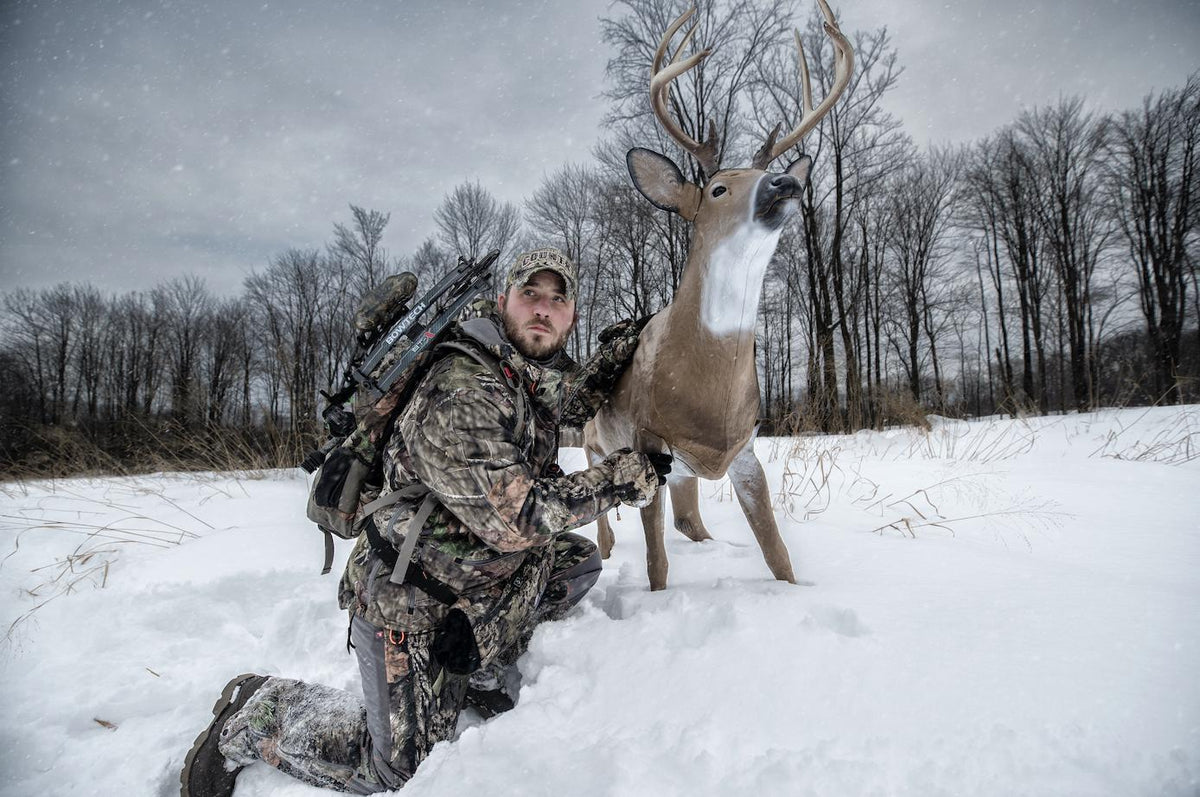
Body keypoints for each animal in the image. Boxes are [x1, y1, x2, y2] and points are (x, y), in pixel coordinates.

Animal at [584, 0, 853, 591]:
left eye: (764, 171)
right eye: (717, 188)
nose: (784, 183)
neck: (710, 396)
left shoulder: (746, 448)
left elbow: (776, 548)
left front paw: (790, 588)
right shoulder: (646, 442)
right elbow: (656, 562)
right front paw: (656, 591)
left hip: (682, 472)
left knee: (690, 521)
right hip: (594, 436)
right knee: (600, 497)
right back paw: (607, 548)